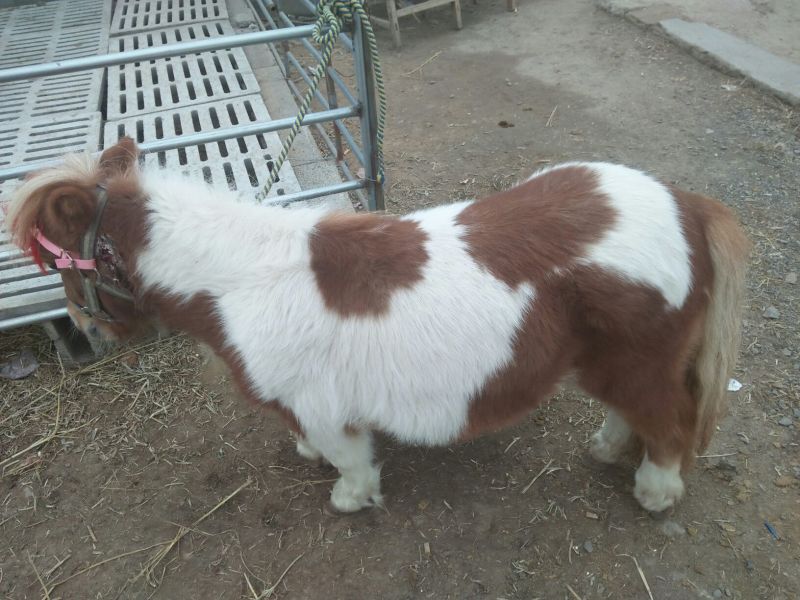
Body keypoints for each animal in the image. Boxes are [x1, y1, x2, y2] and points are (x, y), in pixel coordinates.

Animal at [6, 138, 749, 513]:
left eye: (59, 256)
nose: (88, 330)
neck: (240, 279)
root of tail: (684, 205)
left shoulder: (325, 408)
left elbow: (350, 461)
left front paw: (348, 498)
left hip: (640, 361)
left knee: (668, 423)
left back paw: (655, 492)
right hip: (608, 364)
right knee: (635, 412)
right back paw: (606, 449)